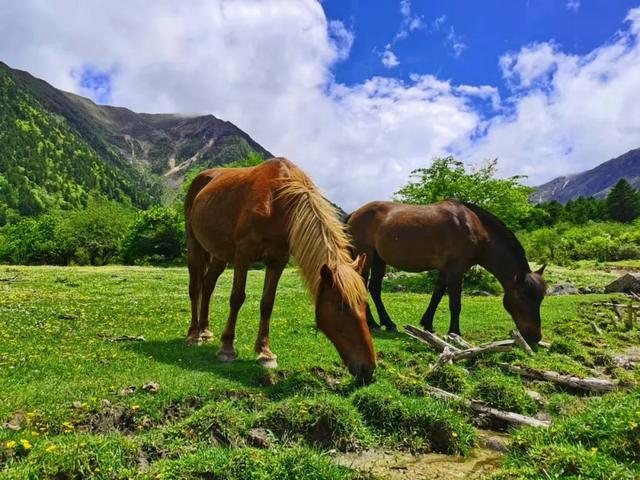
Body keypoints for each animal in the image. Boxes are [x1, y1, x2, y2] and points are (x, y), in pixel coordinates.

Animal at [184, 158, 376, 382]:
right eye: (341, 307)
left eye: (364, 304)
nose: (368, 368)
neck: (277, 202)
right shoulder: (243, 256)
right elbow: (237, 298)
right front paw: (227, 348)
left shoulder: (278, 261)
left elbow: (267, 303)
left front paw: (265, 352)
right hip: (195, 247)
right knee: (195, 287)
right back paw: (194, 334)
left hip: (219, 255)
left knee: (207, 286)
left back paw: (205, 331)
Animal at [348, 199, 548, 344]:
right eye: (523, 297)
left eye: (540, 299)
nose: (535, 336)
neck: (473, 227)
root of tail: (354, 214)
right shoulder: (455, 271)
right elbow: (455, 303)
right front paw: (455, 333)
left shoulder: (445, 271)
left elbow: (436, 297)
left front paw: (428, 324)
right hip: (366, 258)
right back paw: (373, 324)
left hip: (379, 260)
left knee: (374, 289)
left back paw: (388, 323)